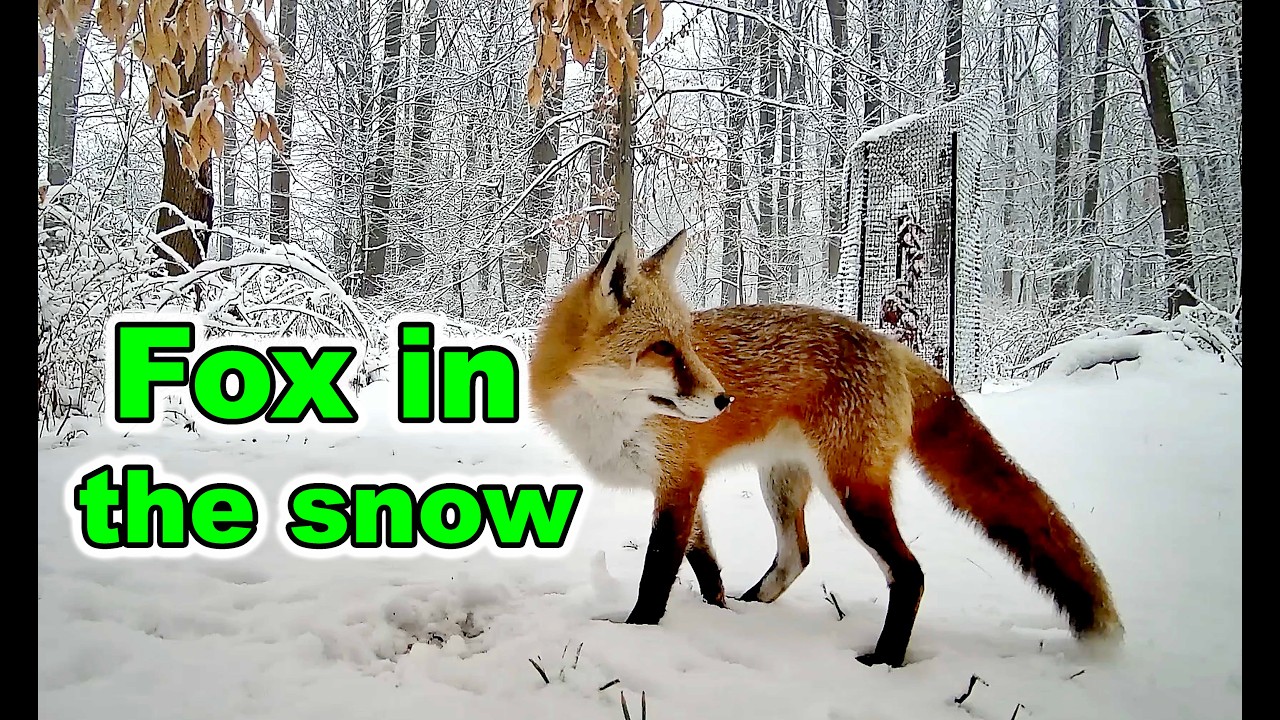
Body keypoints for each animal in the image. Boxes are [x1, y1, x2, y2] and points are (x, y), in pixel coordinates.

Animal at [528, 228, 1123, 667]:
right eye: (662, 349)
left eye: (687, 345)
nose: (723, 400)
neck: (606, 419)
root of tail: (893, 347)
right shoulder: (682, 484)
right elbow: (706, 566)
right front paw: (719, 614)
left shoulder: (679, 481)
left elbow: (657, 572)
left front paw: (638, 634)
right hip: (782, 480)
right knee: (798, 555)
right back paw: (752, 608)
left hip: (853, 491)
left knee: (909, 573)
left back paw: (884, 660)